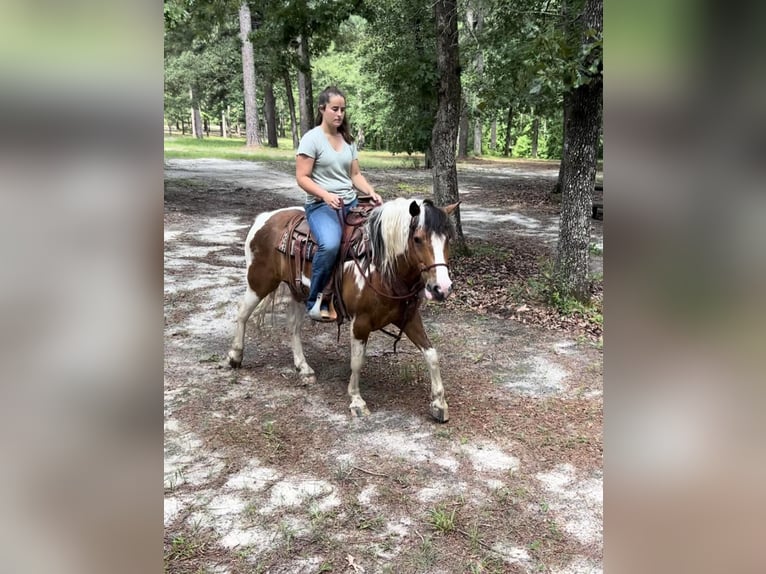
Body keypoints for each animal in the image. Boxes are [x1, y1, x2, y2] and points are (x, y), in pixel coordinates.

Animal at [225, 198, 460, 424]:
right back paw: (235, 356)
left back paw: (304, 368)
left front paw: (439, 404)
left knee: (293, 327)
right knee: (242, 313)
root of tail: (265, 218)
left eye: (448, 238)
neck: (381, 267)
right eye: (417, 239)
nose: (442, 288)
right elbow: (357, 361)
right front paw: (357, 401)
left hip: (298, 292)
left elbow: (431, 354)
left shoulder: (409, 318)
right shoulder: (360, 322)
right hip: (260, 282)